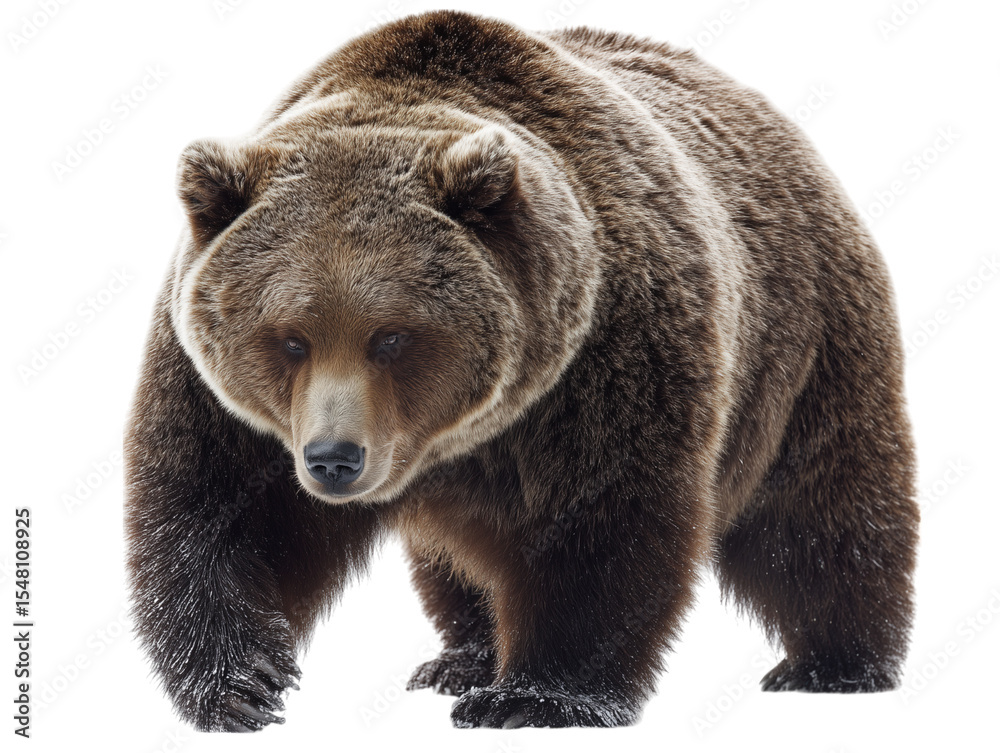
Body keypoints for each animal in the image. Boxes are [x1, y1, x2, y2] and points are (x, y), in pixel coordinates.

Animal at [124, 10, 919, 730]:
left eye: (392, 336)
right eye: (290, 338)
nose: (334, 459)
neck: (456, 441)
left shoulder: (606, 360)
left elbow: (599, 523)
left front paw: (536, 697)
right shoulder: (229, 400)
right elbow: (225, 511)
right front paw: (243, 683)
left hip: (807, 346)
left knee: (821, 508)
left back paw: (833, 663)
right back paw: (462, 656)